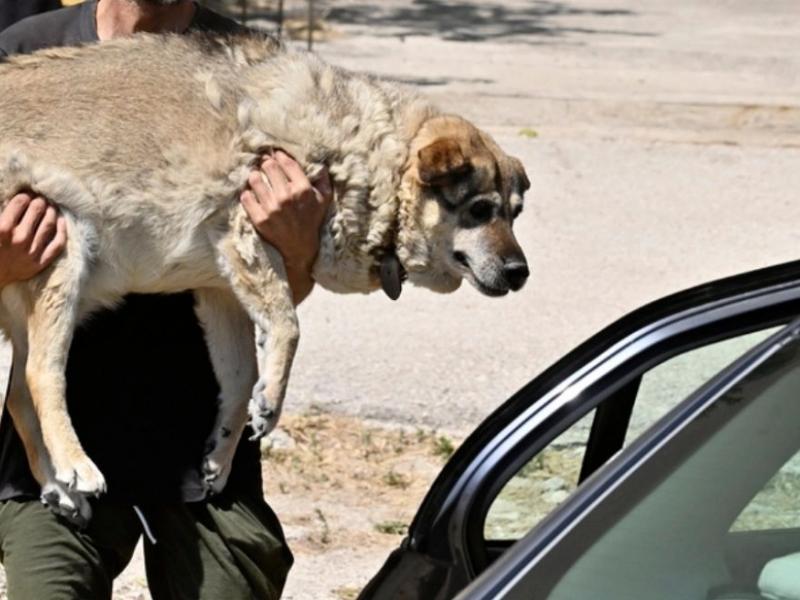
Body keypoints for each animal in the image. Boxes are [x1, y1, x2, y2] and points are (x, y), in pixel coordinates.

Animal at [1, 31, 532, 524]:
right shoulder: (246, 234)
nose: (521, 272)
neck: (372, 154)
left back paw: (58, 488)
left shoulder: (222, 290)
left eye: (515, 214)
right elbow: (290, 329)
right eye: (480, 210)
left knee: (17, 396)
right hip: (63, 250)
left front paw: (222, 454)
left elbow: (240, 380)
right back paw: (75, 466)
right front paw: (272, 403)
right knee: (41, 375)